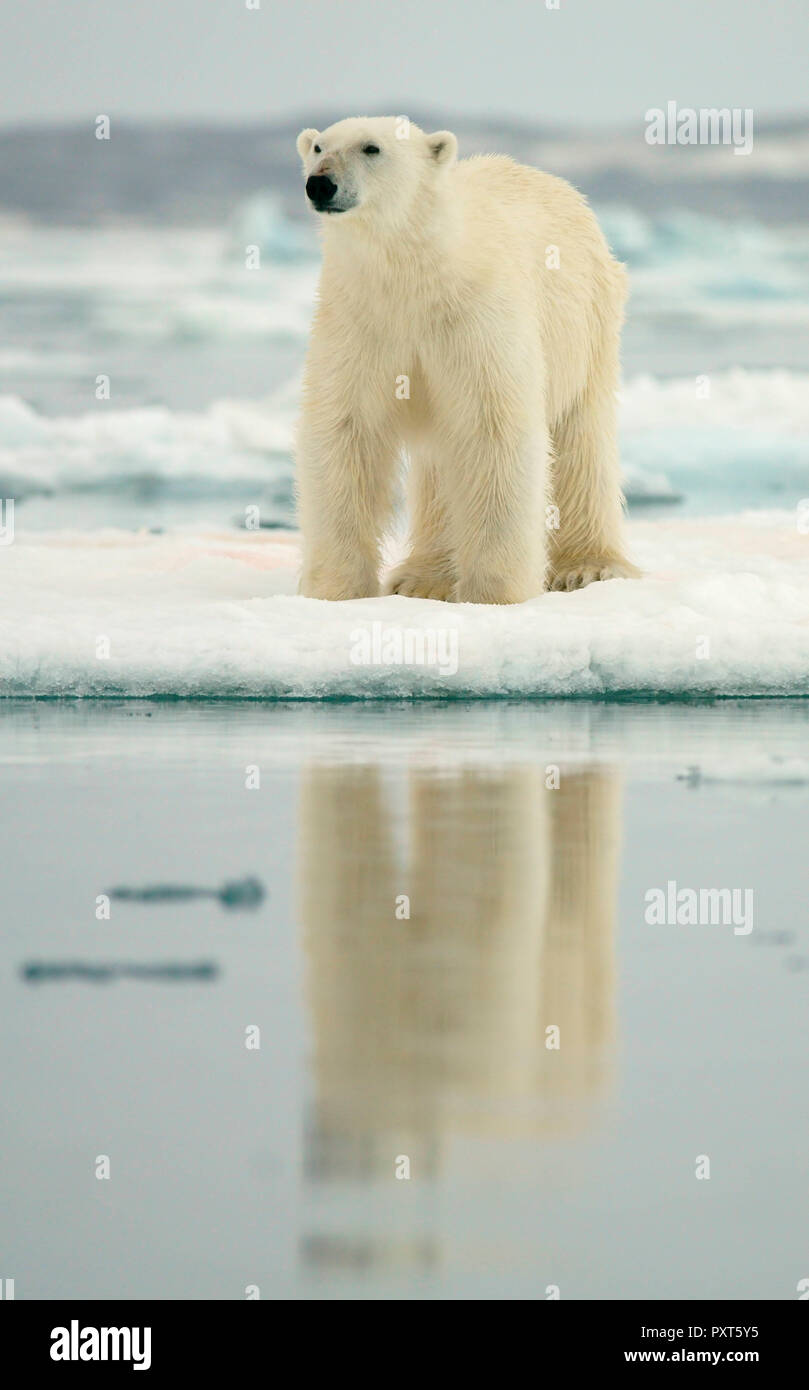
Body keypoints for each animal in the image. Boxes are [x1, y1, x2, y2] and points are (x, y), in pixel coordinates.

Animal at [296, 115, 639, 603]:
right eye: (318, 147)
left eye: (371, 148)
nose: (320, 183)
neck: (417, 274)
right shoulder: (361, 321)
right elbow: (345, 429)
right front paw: (335, 590)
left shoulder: (476, 318)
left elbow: (492, 429)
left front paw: (496, 593)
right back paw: (424, 579)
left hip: (587, 325)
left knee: (581, 438)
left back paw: (589, 567)